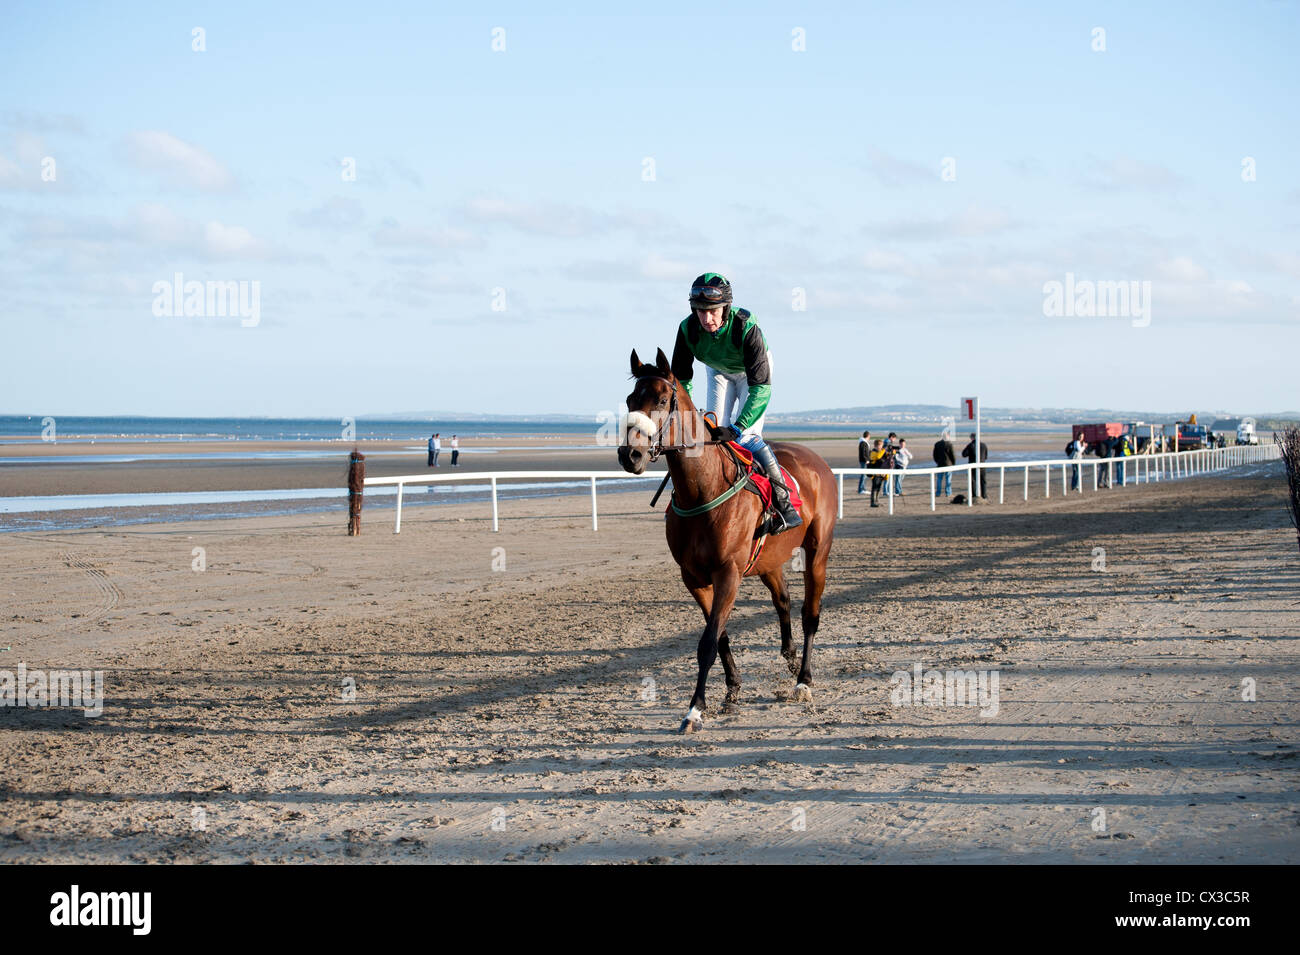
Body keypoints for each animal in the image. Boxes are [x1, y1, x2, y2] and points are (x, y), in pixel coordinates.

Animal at [613, 348, 837, 738]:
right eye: (630, 400)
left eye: (661, 400)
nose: (631, 455)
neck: (704, 489)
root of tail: (815, 459)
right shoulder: (693, 577)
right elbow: (719, 636)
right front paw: (732, 689)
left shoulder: (728, 573)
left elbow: (707, 642)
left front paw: (694, 710)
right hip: (768, 560)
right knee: (783, 600)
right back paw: (791, 658)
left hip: (817, 551)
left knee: (810, 613)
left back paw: (804, 680)